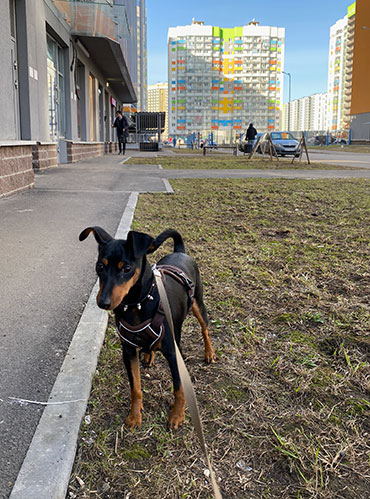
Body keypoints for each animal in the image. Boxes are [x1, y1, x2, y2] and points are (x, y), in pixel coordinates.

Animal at [79, 229, 215, 432]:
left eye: (127, 268)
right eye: (100, 266)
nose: (103, 303)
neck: (136, 305)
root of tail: (180, 251)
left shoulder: (173, 352)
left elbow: (179, 387)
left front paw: (177, 415)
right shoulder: (128, 351)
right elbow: (135, 387)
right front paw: (135, 416)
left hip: (198, 303)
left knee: (204, 328)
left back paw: (209, 353)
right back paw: (148, 356)